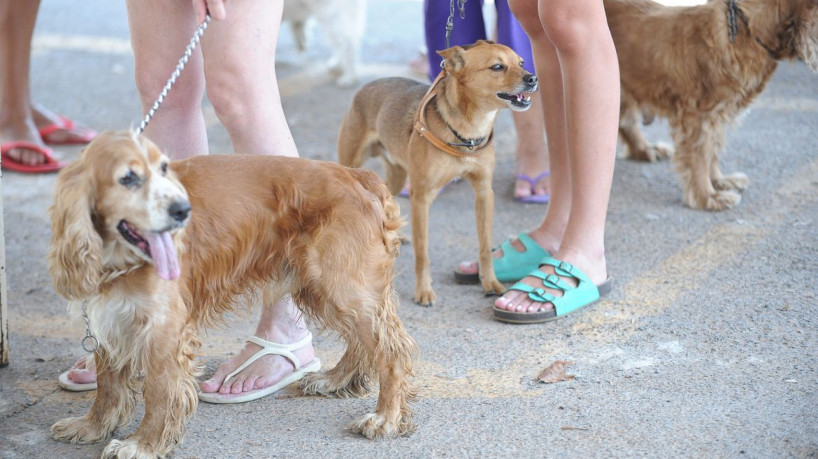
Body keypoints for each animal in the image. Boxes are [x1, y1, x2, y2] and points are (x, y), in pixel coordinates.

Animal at [46, 131, 414, 458]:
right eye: (128, 178)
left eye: (163, 168)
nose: (183, 210)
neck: (119, 257)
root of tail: (359, 176)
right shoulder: (112, 318)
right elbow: (107, 386)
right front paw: (92, 426)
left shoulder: (164, 330)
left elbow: (159, 392)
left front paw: (144, 445)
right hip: (324, 287)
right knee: (363, 343)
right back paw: (335, 380)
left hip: (340, 285)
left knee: (391, 350)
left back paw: (385, 417)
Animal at [604, 0, 816, 211]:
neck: (746, 30)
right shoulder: (698, 116)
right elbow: (700, 157)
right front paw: (707, 196)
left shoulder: (717, 115)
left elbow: (711, 151)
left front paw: (719, 182)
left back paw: (645, 149)